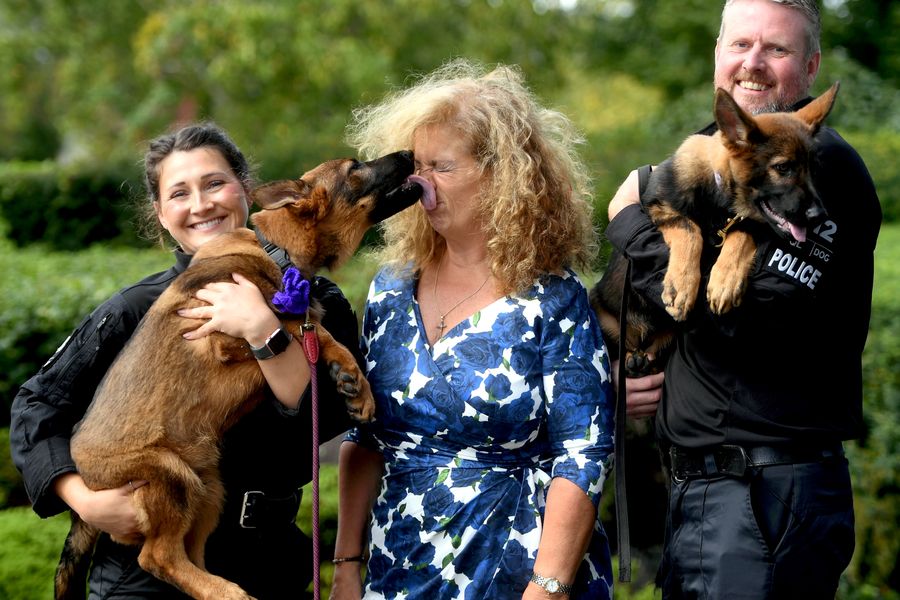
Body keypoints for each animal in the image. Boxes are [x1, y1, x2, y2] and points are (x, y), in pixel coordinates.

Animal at [54, 151, 424, 600]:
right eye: (355, 168)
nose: (409, 154)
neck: (277, 252)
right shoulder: (225, 335)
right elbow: (304, 327)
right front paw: (351, 376)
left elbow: (314, 329)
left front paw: (352, 382)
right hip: (172, 476)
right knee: (157, 557)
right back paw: (226, 590)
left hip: (209, 488)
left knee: (189, 556)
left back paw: (219, 587)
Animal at [592, 83, 836, 376]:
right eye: (783, 168)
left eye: (814, 169)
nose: (820, 216)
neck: (720, 201)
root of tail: (640, 340)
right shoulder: (657, 209)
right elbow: (690, 230)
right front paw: (682, 286)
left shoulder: (748, 224)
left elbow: (740, 237)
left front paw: (725, 281)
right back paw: (632, 359)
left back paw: (640, 361)